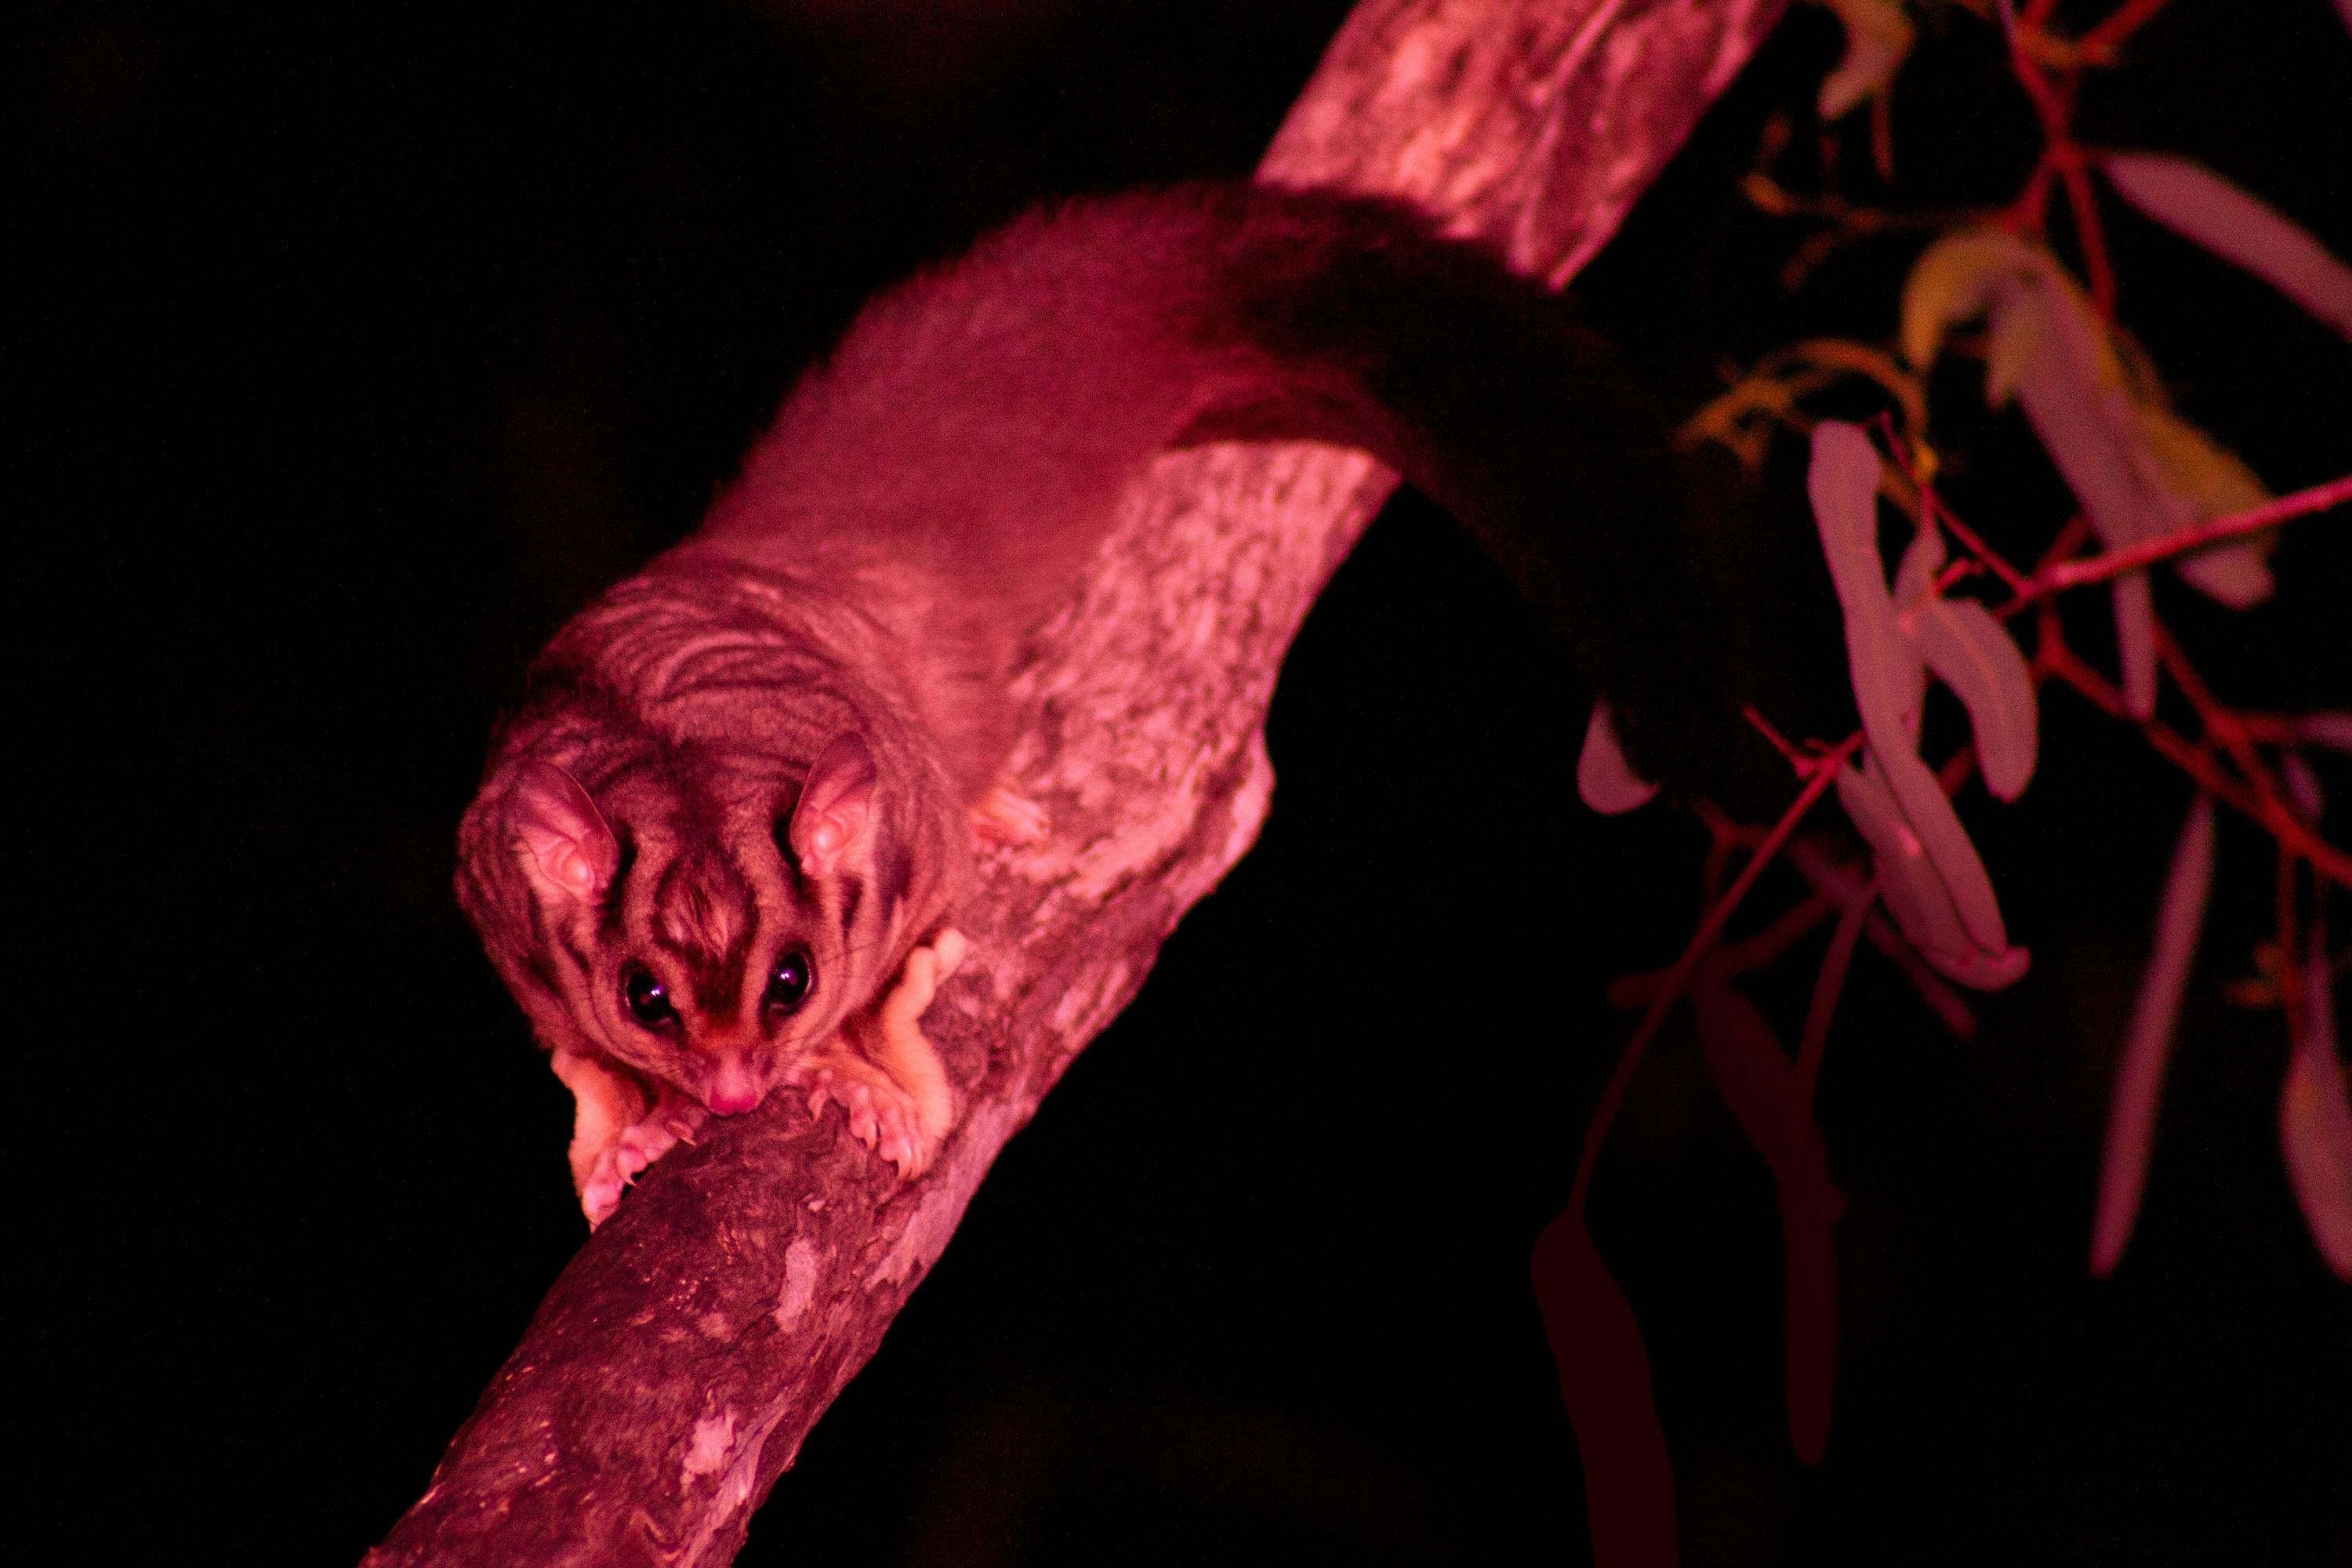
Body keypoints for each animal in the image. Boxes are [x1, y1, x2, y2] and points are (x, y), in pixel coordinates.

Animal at [455, 182, 1757, 1226]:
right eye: (648, 998)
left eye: (792, 983)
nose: (734, 1092)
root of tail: (776, 556)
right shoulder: (494, 896)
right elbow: (572, 1052)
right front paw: (625, 1123)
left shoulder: (914, 846)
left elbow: (907, 996)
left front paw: (859, 1073)